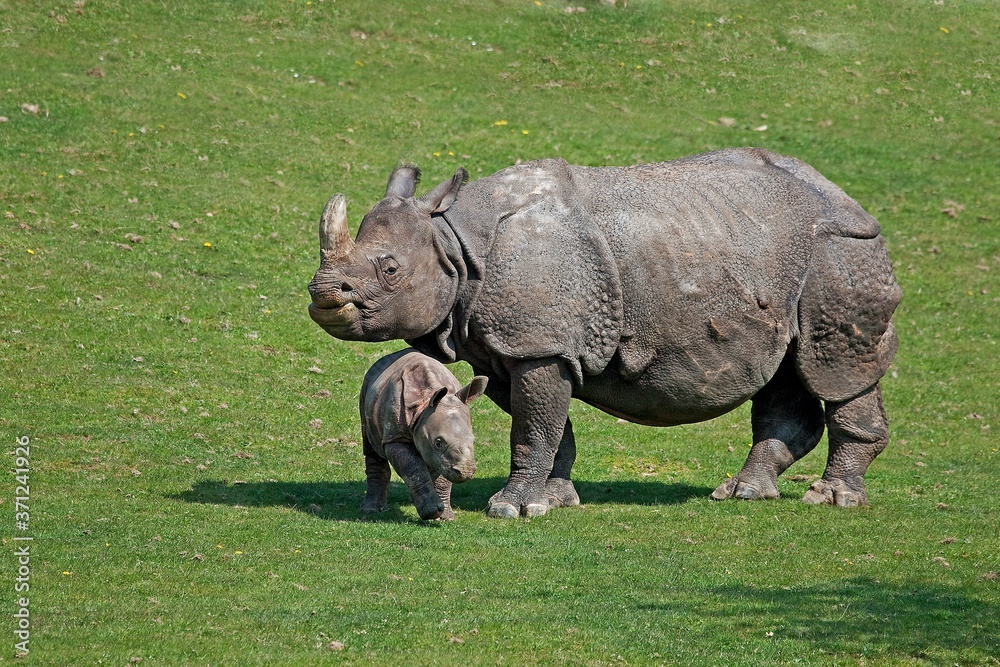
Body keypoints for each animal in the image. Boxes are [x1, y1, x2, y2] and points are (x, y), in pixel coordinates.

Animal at [360, 348, 488, 520]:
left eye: (473, 441)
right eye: (438, 442)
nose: (465, 471)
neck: (424, 405)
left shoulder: (442, 456)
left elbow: (442, 472)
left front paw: (445, 517)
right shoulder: (396, 436)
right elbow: (413, 468)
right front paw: (432, 511)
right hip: (366, 388)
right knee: (371, 446)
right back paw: (371, 510)